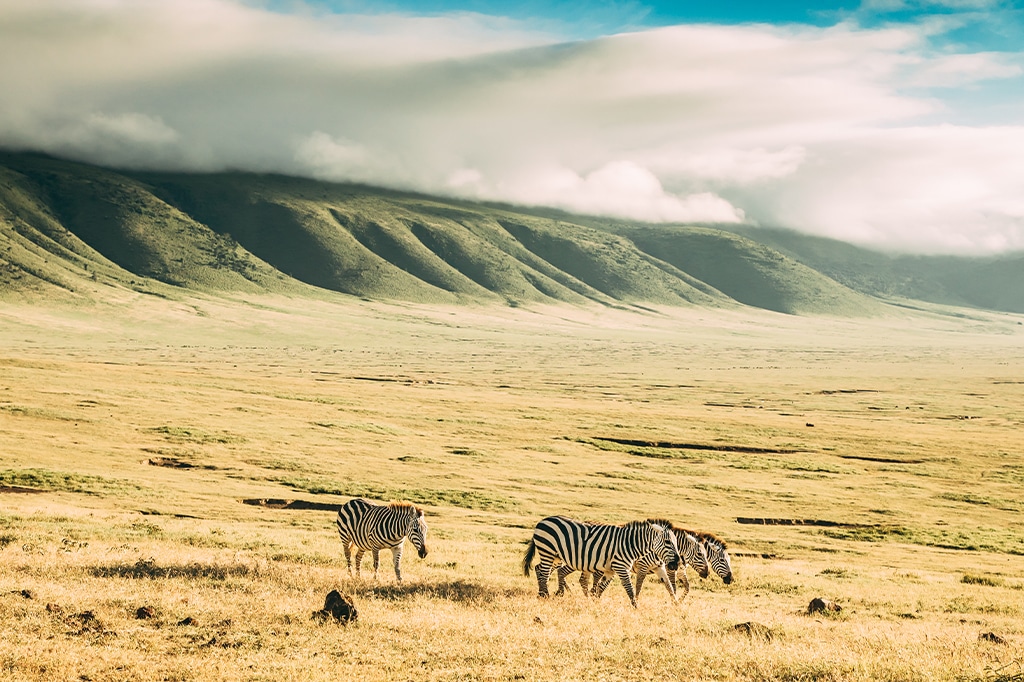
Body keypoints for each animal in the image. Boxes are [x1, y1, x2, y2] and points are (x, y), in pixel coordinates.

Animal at [522, 516, 681, 608]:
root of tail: (543, 520)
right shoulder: (622, 567)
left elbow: (601, 587)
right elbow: (630, 587)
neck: (631, 544)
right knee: (544, 572)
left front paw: (677, 604)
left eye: (676, 542)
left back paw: (544, 593)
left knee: (540, 569)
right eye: (667, 542)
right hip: (548, 551)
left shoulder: (611, 570)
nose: (676, 564)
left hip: (555, 556)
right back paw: (545, 595)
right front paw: (636, 606)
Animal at [558, 522, 710, 599]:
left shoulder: (659, 567)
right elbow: (639, 586)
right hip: (578, 560)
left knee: (581, 579)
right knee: (563, 571)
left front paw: (676, 604)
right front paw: (636, 600)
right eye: (699, 554)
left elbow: (670, 587)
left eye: (705, 554)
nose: (707, 573)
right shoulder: (643, 566)